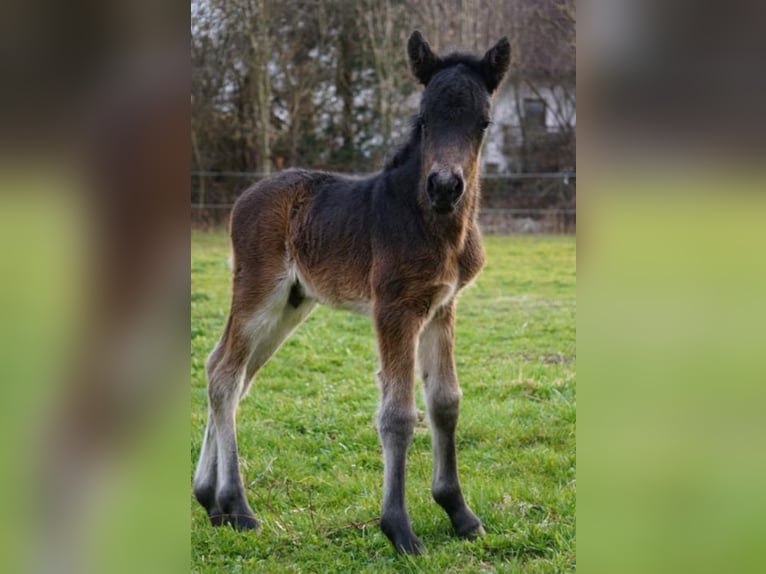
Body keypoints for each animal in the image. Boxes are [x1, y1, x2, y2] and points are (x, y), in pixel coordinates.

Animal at [193, 30, 510, 555]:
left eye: (482, 123)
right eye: (424, 120)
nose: (445, 186)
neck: (432, 222)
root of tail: (244, 198)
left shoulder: (442, 307)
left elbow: (445, 402)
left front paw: (460, 514)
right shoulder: (395, 309)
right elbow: (398, 414)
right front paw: (399, 528)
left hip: (291, 306)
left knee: (231, 372)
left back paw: (209, 500)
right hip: (260, 292)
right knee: (224, 374)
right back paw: (237, 506)